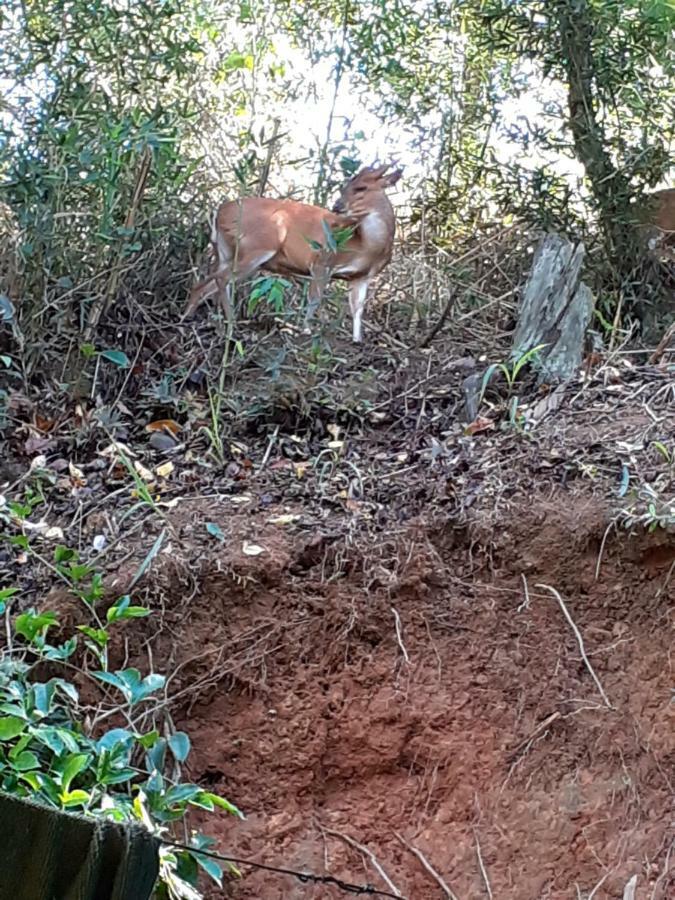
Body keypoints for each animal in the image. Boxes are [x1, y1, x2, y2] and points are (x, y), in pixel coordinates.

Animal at [184, 163, 402, 342]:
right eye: (344, 187)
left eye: (361, 188)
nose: (337, 206)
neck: (365, 244)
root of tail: (219, 212)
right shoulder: (322, 261)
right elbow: (315, 299)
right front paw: (306, 330)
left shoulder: (361, 276)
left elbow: (357, 309)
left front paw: (357, 340)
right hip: (258, 246)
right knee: (221, 279)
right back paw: (230, 327)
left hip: (227, 252)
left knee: (205, 283)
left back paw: (190, 318)